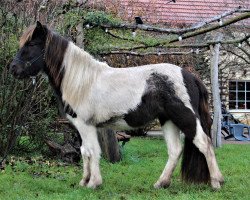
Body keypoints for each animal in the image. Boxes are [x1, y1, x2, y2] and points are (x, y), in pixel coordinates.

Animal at [10, 21, 225, 189]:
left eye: (31, 44)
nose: (13, 69)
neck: (81, 81)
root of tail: (189, 75)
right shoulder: (81, 127)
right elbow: (85, 152)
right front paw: (84, 181)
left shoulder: (86, 126)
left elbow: (92, 152)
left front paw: (93, 183)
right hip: (168, 120)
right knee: (175, 150)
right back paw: (161, 183)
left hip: (185, 117)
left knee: (204, 143)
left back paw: (216, 182)